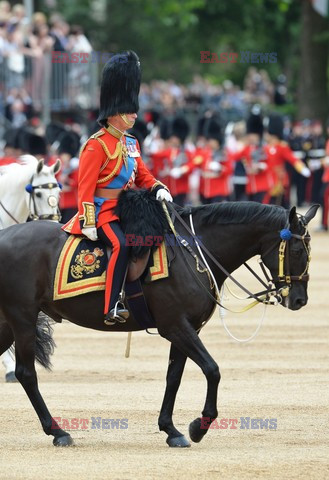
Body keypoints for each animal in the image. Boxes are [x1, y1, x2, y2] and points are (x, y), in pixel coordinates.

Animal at [0, 201, 318, 448]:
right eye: (297, 252)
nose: (300, 299)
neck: (195, 252)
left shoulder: (187, 328)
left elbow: (173, 377)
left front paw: (171, 429)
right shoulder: (176, 326)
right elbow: (212, 370)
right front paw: (199, 427)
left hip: (8, 324)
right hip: (22, 318)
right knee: (27, 373)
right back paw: (57, 430)